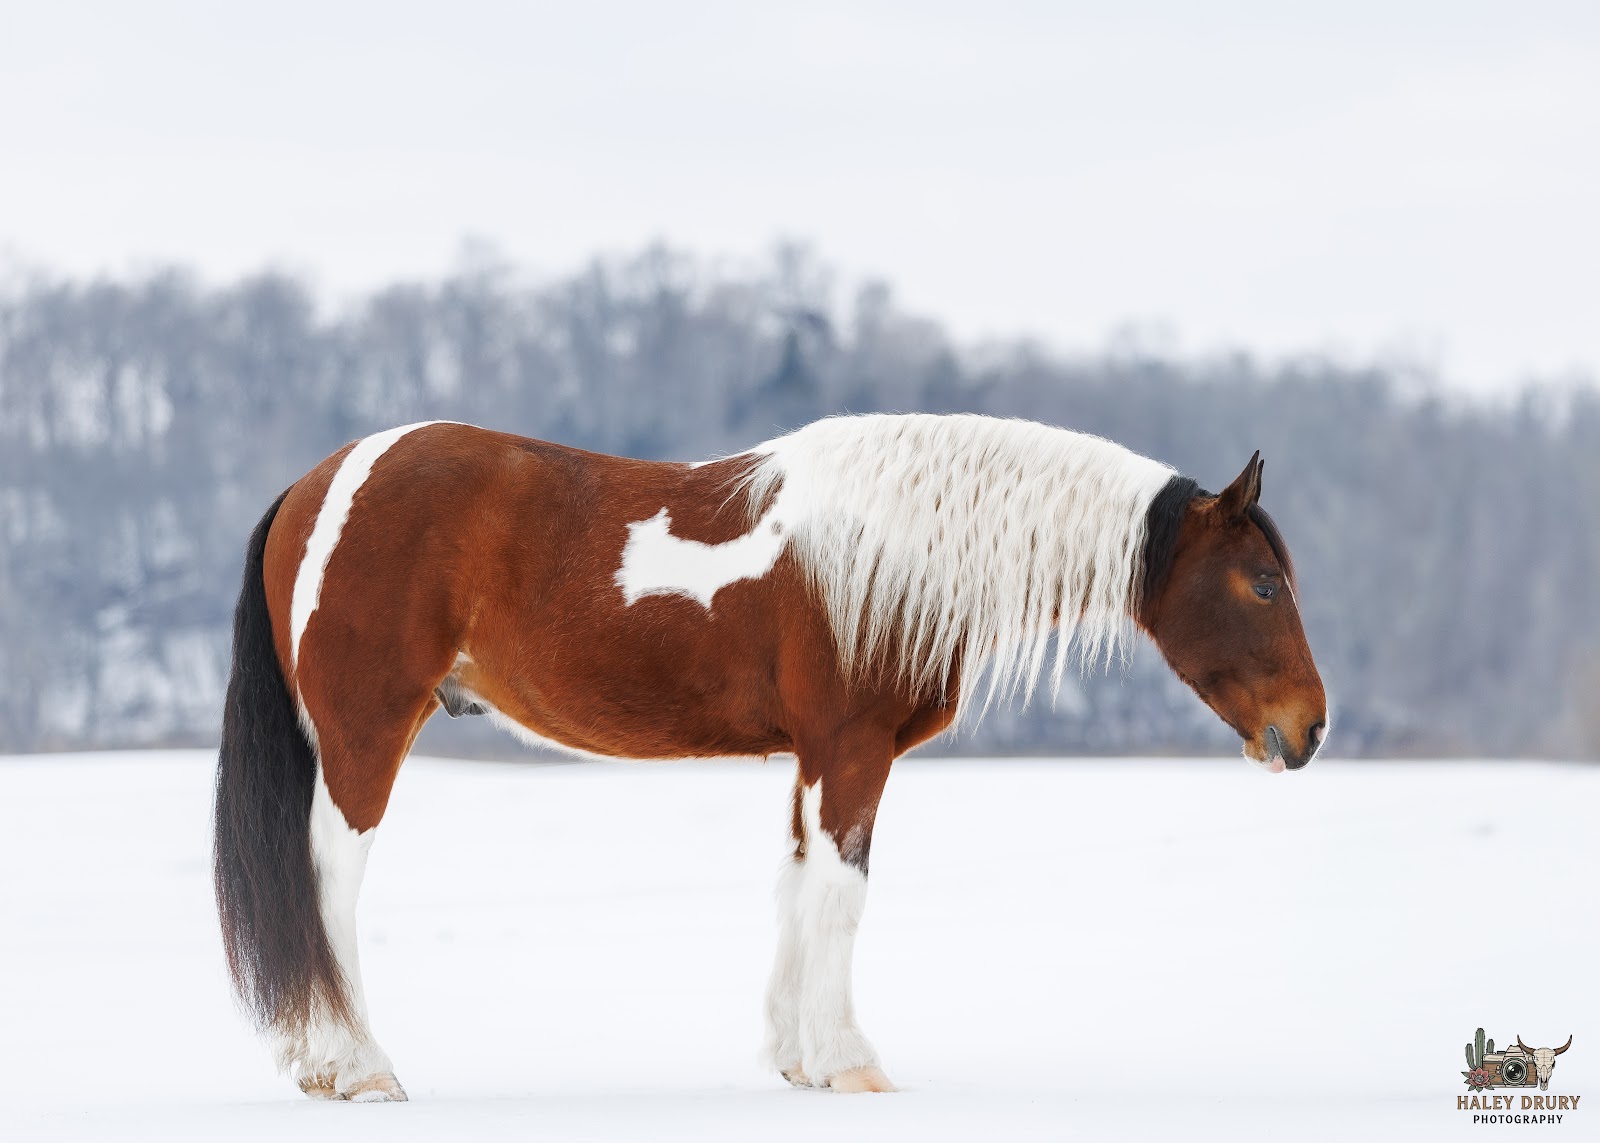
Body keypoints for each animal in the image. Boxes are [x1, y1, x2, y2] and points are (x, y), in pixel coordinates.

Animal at [213, 412, 1327, 1101]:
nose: (1309, 729)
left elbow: (799, 891)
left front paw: (798, 1060)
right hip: (365, 736)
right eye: (1264, 583)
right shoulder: (852, 749)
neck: (892, 550)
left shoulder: (811, 758)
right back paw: (357, 1067)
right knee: (325, 887)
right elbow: (842, 893)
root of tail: (321, 482)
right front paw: (851, 1062)